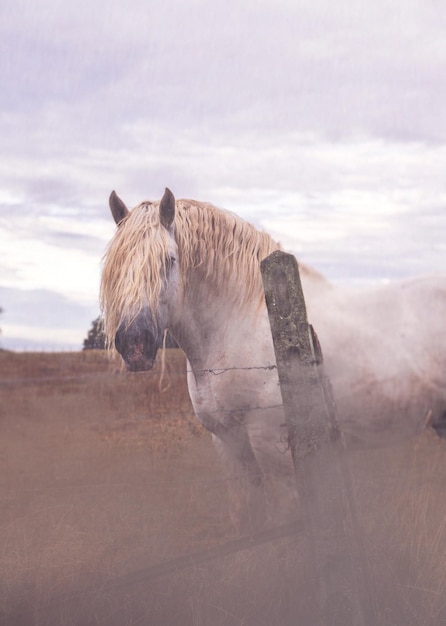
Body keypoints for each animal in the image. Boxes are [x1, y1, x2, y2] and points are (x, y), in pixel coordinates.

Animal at [100, 189, 446, 528]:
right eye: (116, 266)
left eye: (169, 260)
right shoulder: (230, 445)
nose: (134, 343)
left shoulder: (272, 448)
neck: (241, 321)